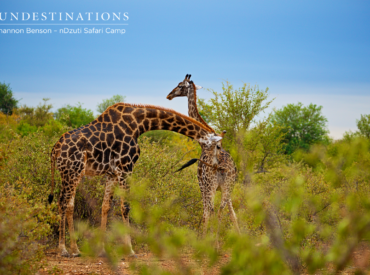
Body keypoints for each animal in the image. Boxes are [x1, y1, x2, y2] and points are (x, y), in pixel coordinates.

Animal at [48, 102, 223, 258]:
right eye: (219, 146)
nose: (218, 165)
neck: (139, 124)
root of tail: (55, 149)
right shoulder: (126, 167)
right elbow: (125, 207)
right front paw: (130, 250)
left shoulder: (112, 172)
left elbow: (105, 206)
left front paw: (102, 250)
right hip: (71, 171)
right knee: (62, 202)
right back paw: (63, 250)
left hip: (74, 173)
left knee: (70, 204)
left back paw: (75, 249)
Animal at [167, 75, 241, 237]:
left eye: (180, 85)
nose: (169, 95)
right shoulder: (226, 190)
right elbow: (233, 214)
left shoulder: (201, 184)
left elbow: (206, 212)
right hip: (227, 187)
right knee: (221, 211)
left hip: (210, 187)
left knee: (212, 211)